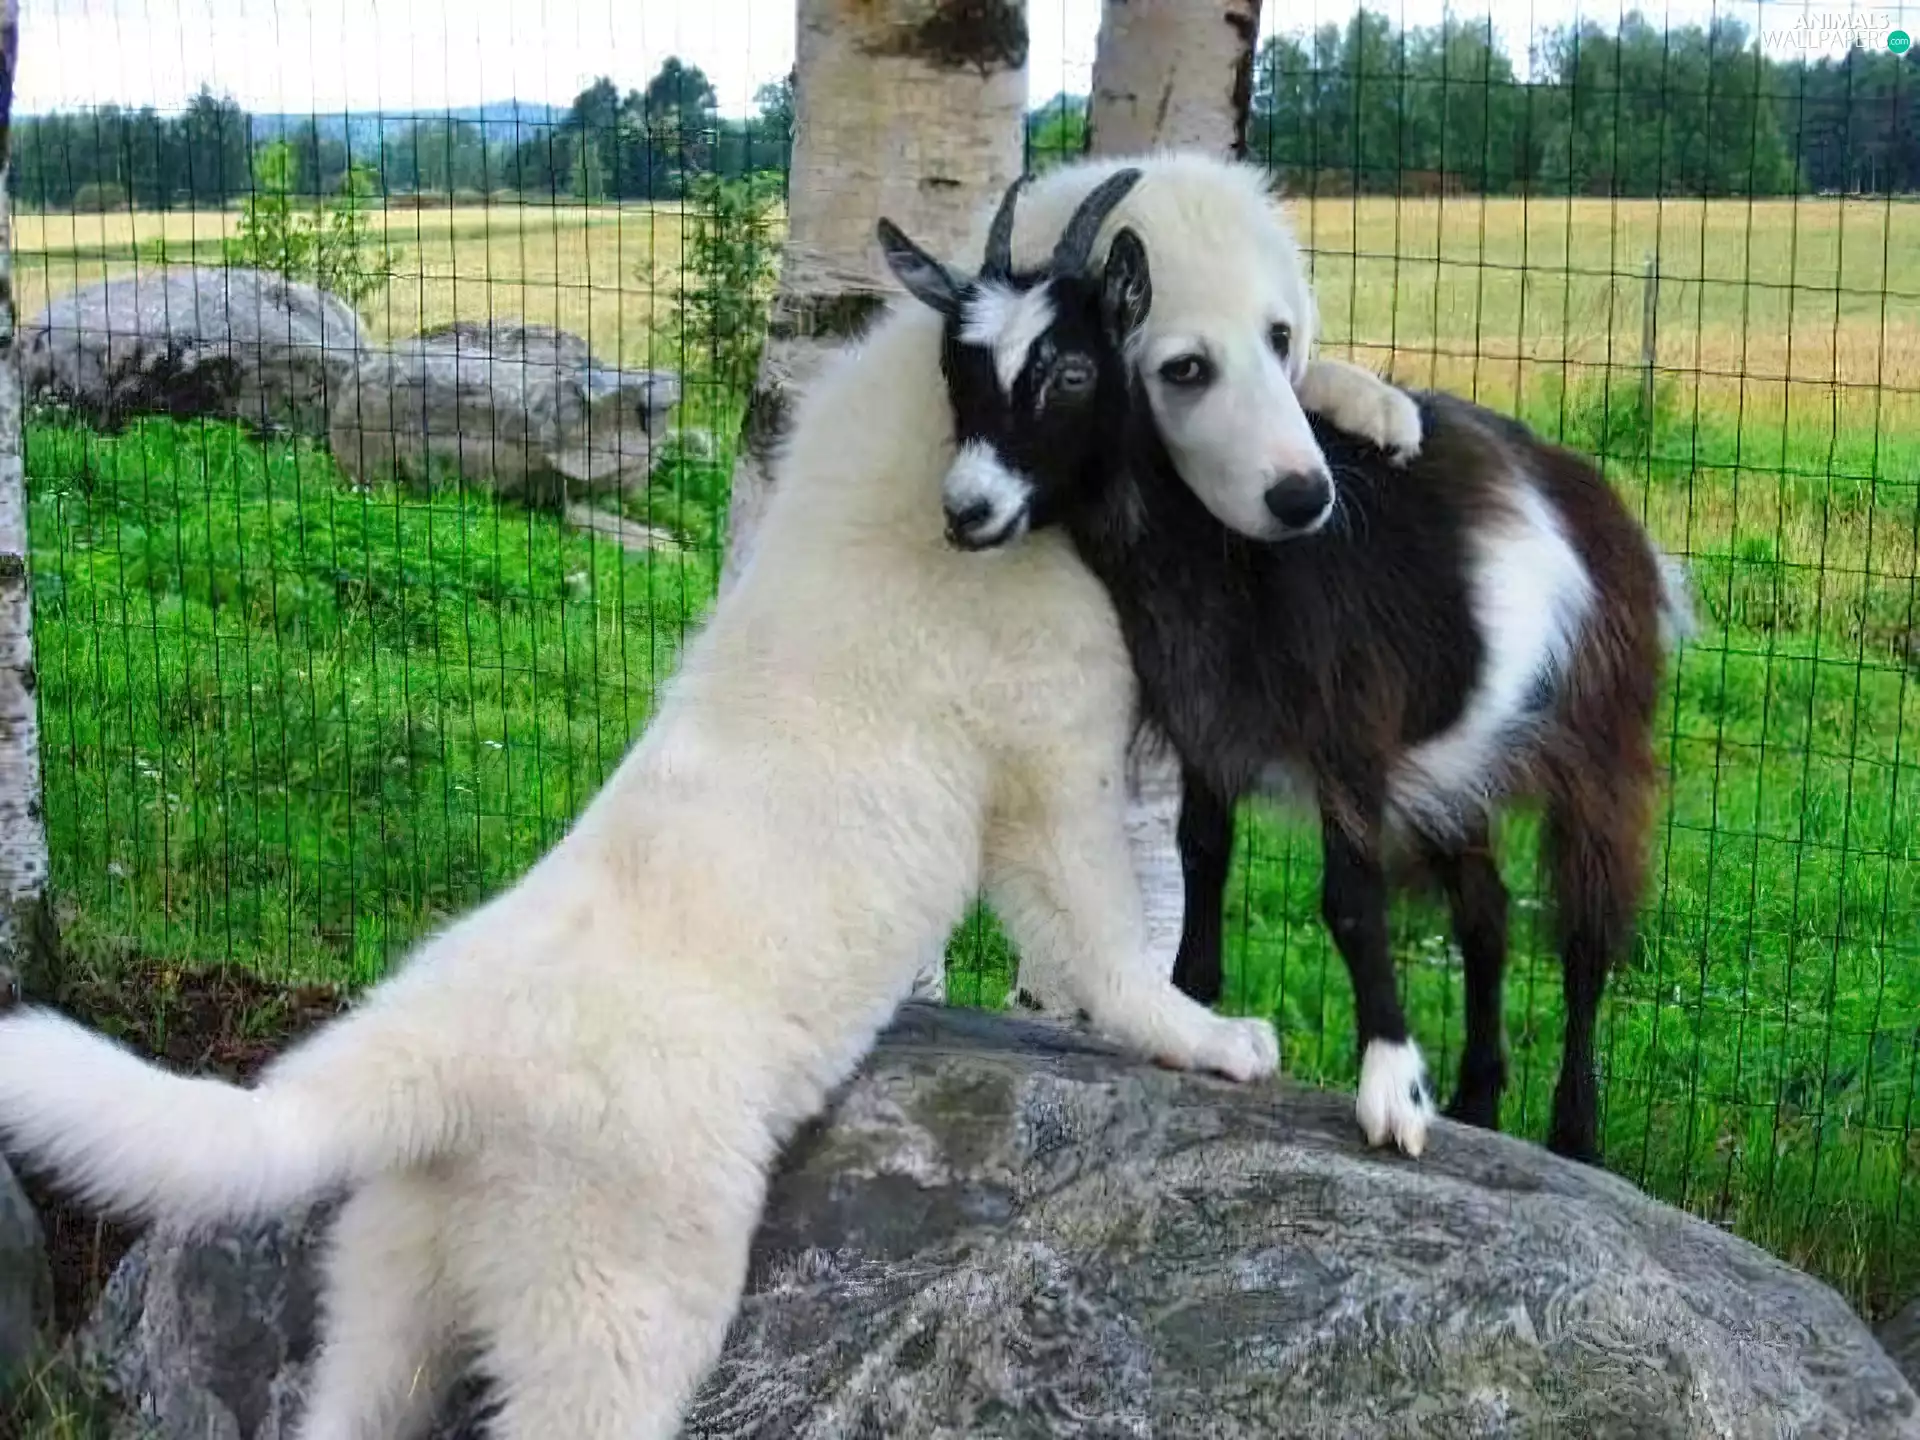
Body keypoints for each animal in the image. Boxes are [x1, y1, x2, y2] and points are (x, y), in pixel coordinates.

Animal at [882, 163, 1694, 1163]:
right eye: (955, 369)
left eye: (1071, 370)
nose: (969, 511)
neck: (1220, 555)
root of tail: (1614, 518)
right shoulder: (1208, 722)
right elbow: (1203, 853)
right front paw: (1202, 1007)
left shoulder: (1351, 736)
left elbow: (1351, 899)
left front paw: (1393, 1092)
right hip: (1461, 766)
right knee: (1487, 915)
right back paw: (1479, 1101)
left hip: (1599, 740)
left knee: (1586, 937)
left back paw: (1573, 1132)